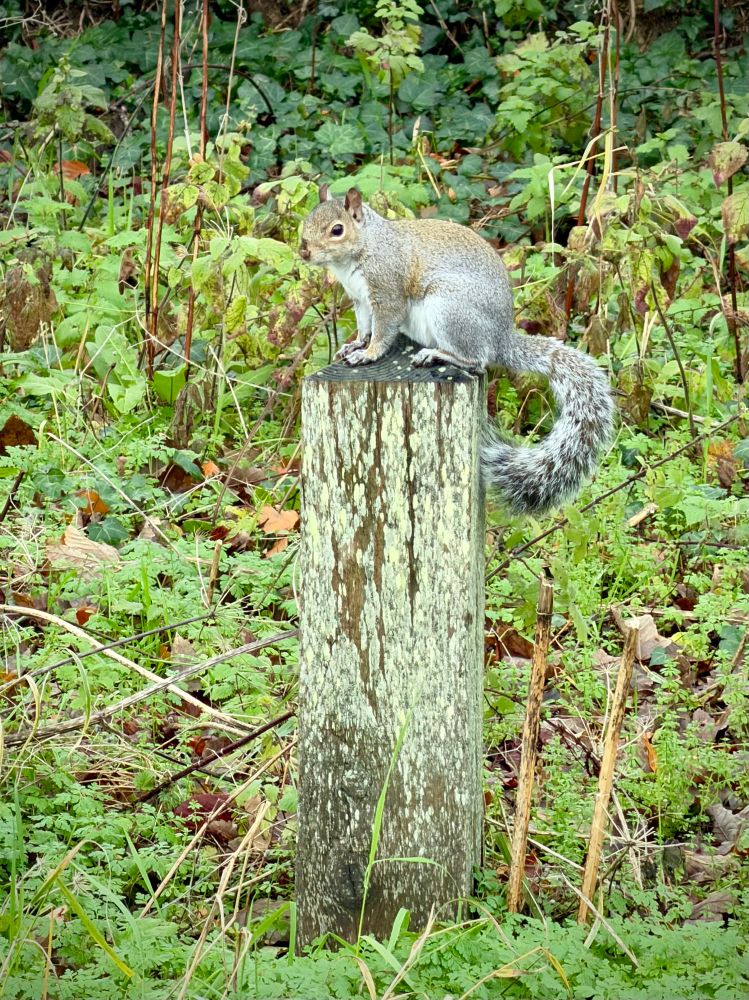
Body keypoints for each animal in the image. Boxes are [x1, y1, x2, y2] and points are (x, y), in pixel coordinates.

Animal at [300, 186, 614, 515]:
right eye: (308, 220)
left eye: (337, 230)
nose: (304, 251)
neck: (365, 246)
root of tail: (501, 338)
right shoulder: (360, 301)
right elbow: (364, 327)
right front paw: (354, 345)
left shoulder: (387, 290)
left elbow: (384, 329)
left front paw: (369, 354)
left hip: (449, 309)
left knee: (476, 360)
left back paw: (437, 354)